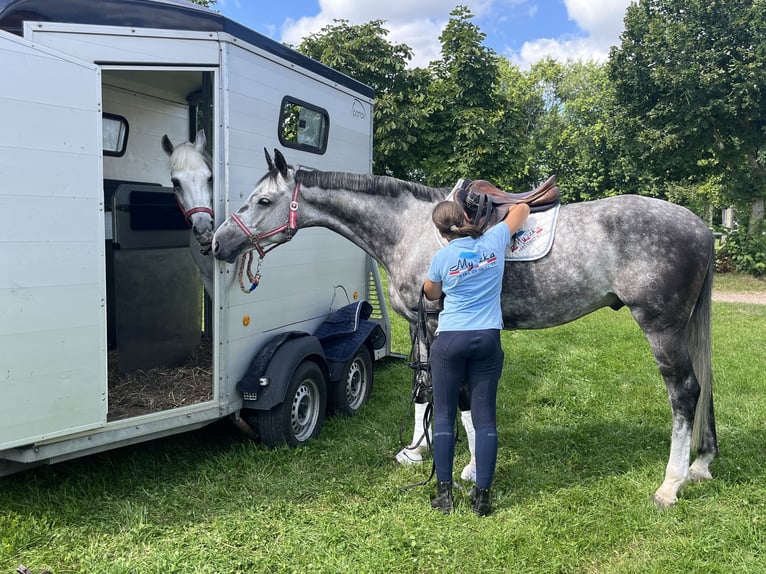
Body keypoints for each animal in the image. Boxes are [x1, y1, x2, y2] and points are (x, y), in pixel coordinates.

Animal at [212, 148, 720, 508]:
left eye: (263, 201)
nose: (218, 241)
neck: (410, 228)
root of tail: (701, 227)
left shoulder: (439, 324)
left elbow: (454, 397)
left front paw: (468, 467)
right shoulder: (419, 325)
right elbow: (423, 390)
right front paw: (416, 450)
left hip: (661, 329)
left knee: (685, 394)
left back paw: (671, 484)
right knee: (705, 388)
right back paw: (702, 464)